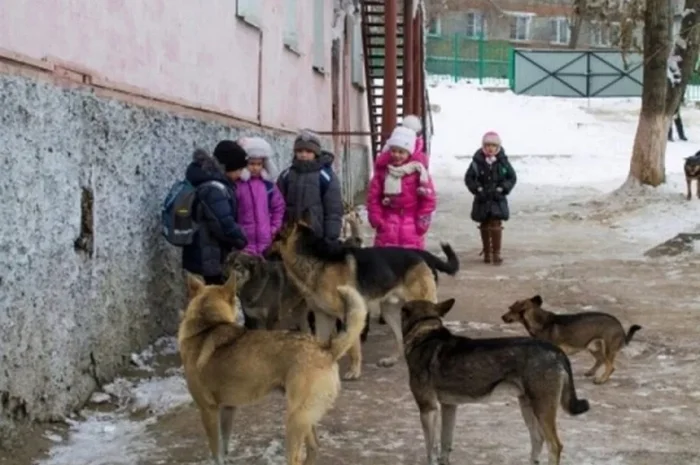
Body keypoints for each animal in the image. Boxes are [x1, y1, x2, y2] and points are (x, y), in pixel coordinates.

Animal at [178, 272, 370, 464]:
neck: (206, 326)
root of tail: (325, 348)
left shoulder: (208, 411)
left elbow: (216, 451)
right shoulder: (228, 409)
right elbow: (224, 446)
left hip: (294, 419)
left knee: (295, 458)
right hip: (306, 418)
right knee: (314, 447)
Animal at [268, 216, 460, 378]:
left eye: (274, 237)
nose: (263, 250)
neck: (316, 258)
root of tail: (423, 254)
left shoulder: (348, 315)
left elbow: (353, 347)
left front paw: (354, 371)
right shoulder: (323, 317)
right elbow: (321, 343)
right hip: (390, 312)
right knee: (400, 337)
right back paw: (392, 360)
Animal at [402, 298, 588, 464]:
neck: (425, 333)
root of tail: (556, 351)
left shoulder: (428, 409)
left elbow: (430, 450)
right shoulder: (449, 406)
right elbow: (445, 446)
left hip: (542, 409)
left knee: (554, 446)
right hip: (528, 407)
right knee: (537, 439)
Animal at [500, 294, 644, 384]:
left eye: (510, 309)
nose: (502, 317)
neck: (539, 321)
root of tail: (620, 326)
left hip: (607, 348)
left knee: (610, 366)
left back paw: (601, 380)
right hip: (593, 347)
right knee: (600, 360)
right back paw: (591, 372)